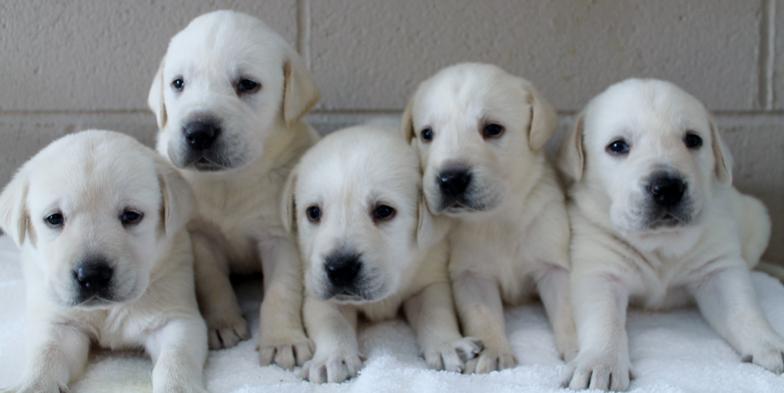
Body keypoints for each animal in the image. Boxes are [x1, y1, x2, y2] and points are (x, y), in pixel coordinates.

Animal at [0, 130, 207, 390]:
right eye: (54, 218)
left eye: (131, 215)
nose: (92, 275)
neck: (106, 310)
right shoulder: (59, 322)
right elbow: (47, 352)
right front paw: (33, 385)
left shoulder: (177, 316)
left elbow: (177, 356)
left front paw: (176, 387)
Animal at [145, 8, 320, 364]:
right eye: (178, 83)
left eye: (247, 85)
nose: (198, 132)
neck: (230, 180)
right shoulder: (200, 237)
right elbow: (213, 282)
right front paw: (222, 323)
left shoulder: (282, 237)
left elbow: (281, 290)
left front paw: (283, 339)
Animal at [284, 126, 484, 382]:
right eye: (313, 213)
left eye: (384, 211)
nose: (340, 269)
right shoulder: (317, 290)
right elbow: (331, 322)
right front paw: (332, 358)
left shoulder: (429, 277)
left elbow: (435, 312)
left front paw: (446, 344)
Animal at [404, 62, 576, 372]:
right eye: (427, 134)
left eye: (493, 129)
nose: (451, 179)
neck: (498, 218)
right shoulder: (471, 274)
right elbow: (482, 315)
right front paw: (492, 352)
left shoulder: (553, 264)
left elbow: (568, 309)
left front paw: (581, 349)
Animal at [556, 78, 776, 390]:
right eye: (618, 146)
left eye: (693, 140)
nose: (668, 188)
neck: (661, 242)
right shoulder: (599, 270)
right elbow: (603, 319)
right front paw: (601, 362)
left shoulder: (719, 269)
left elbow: (744, 310)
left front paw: (769, 345)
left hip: (758, 219)